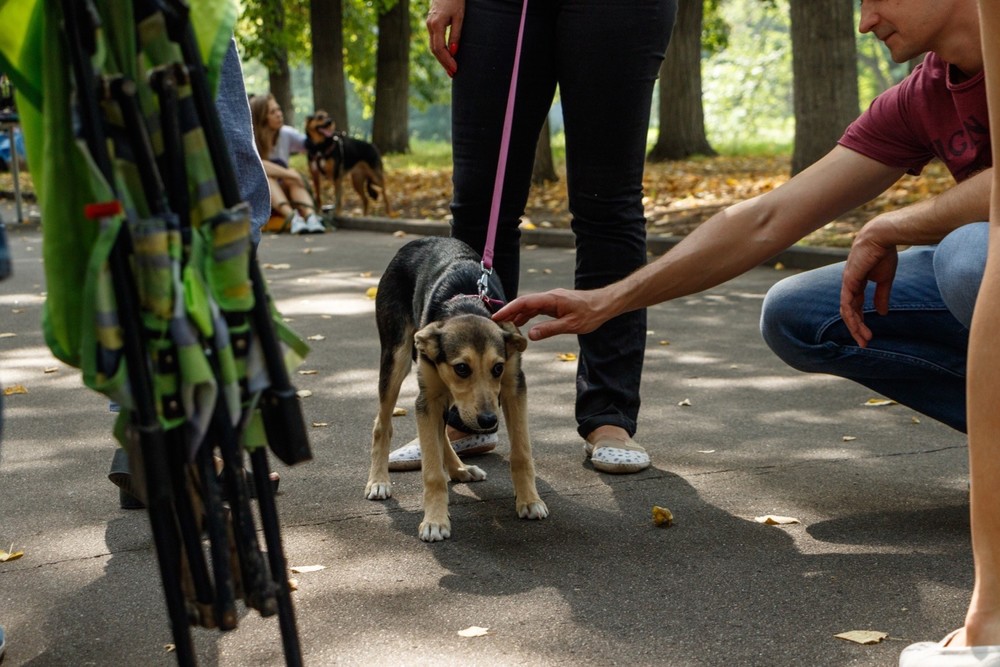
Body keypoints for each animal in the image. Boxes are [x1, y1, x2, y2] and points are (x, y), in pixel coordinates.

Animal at [366, 237, 552, 540]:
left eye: (497, 368)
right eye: (462, 368)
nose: (488, 422)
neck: (467, 305)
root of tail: (416, 241)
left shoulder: (514, 388)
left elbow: (522, 453)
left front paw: (529, 500)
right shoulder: (427, 399)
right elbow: (432, 472)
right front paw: (435, 521)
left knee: (442, 432)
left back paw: (460, 469)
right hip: (396, 358)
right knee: (383, 424)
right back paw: (379, 481)